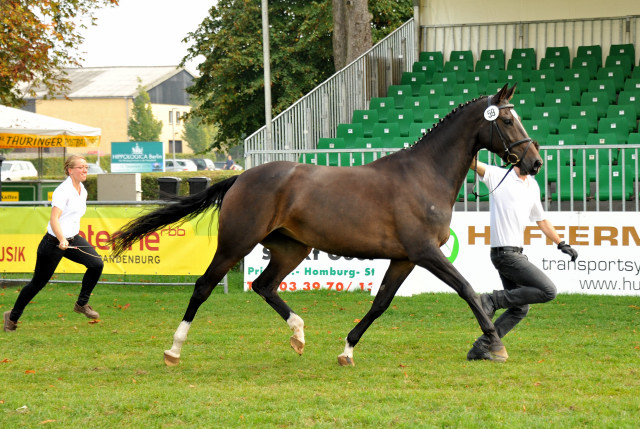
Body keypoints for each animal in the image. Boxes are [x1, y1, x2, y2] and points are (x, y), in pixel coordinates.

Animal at [109, 83, 540, 364]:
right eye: (507, 121)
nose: (534, 162)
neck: (424, 176)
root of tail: (241, 176)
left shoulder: (405, 258)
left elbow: (381, 302)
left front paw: (347, 350)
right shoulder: (425, 252)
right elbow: (467, 289)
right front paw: (495, 344)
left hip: (290, 248)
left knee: (264, 285)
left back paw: (299, 335)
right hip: (237, 243)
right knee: (204, 285)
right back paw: (174, 349)